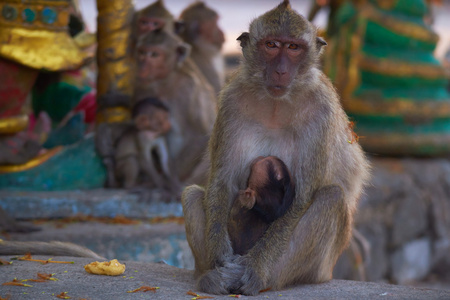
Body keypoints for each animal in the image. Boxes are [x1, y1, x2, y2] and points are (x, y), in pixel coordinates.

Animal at [181, 0, 370, 296]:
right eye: (271, 45)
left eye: (293, 47)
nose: (281, 70)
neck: (275, 104)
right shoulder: (230, 102)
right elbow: (222, 183)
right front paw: (220, 259)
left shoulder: (322, 110)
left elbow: (302, 198)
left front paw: (255, 268)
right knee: (191, 195)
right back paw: (208, 277)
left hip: (318, 268)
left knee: (331, 197)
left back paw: (262, 278)